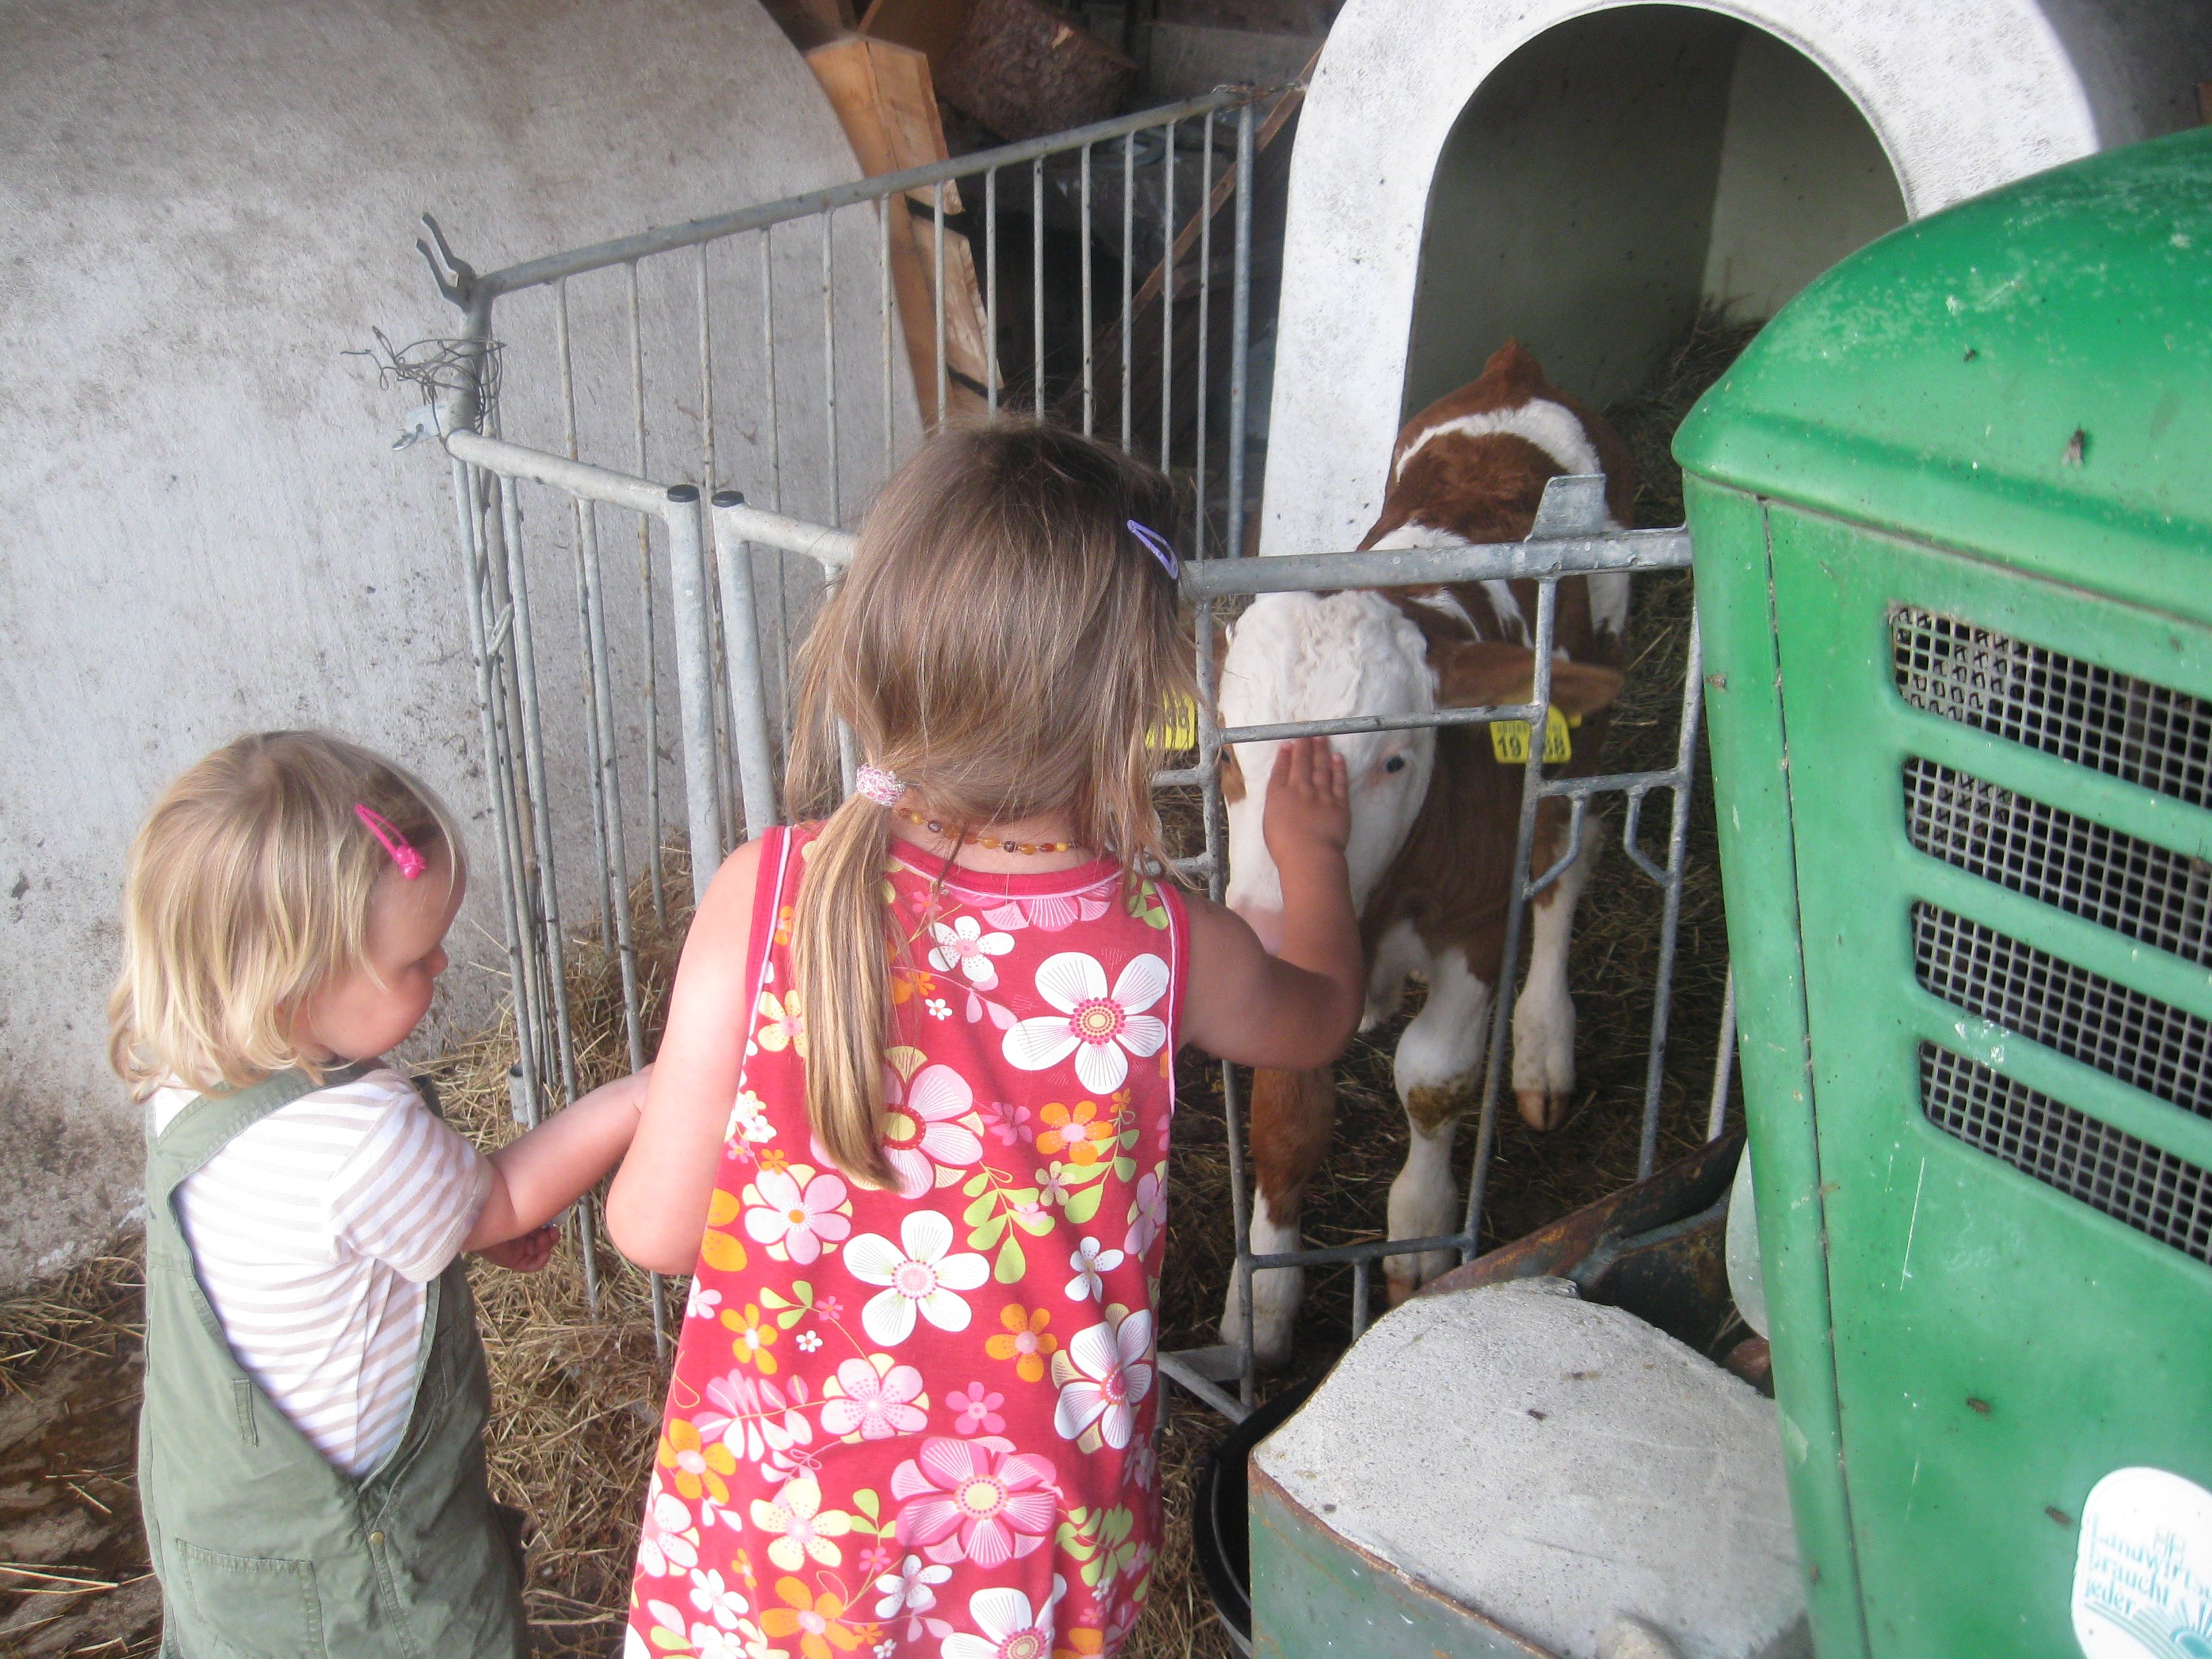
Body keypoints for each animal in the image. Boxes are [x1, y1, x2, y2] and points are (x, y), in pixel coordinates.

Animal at [1221, 345, 1637, 1371]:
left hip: (1585, 739)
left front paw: (1419, 1229)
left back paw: (1543, 1044)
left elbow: (1435, 1076)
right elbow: (1287, 1117)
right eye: (1229, 756)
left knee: (1568, 864)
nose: (1268, 929)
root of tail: (1515, 371)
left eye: (1396, 759)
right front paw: (1264, 1300)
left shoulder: (1479, 920)